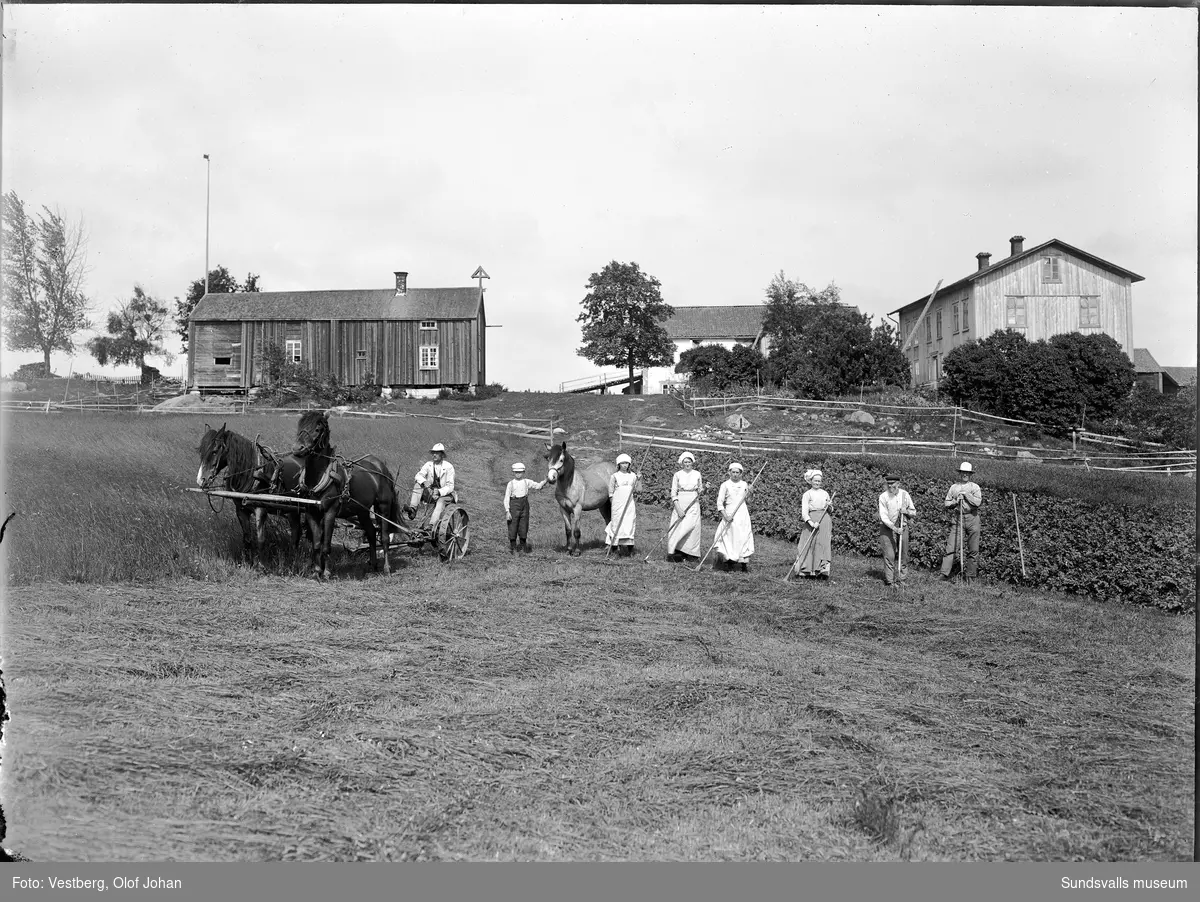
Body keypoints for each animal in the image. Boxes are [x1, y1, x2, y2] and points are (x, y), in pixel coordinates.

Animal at [194, 422, 307, 563]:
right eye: (201, 451)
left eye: (215, 451)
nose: (201, 480)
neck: (252, 473)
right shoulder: (241, 510)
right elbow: (247, 539)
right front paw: (248, 563)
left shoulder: (260, 510)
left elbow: (261, 540)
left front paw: (262, 564)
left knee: (297, 532)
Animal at [291, 410, 400, 578]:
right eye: (300, 425)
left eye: (317, 429)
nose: (297, 448)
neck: (320, 477)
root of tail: (380, 466)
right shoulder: (311, 513)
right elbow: (316, 544)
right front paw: (316, 571)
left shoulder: (330, 513)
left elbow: (326, 545)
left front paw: (327, 572)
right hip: (362, 510)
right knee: (371, 532)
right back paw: (373, 564)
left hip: (383, 507)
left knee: (384, 537)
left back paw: (386, 568)